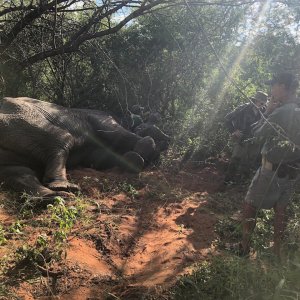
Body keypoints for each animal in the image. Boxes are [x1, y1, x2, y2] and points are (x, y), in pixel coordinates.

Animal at [0, 97, 158, 200]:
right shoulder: (99, 119)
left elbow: (100, 157)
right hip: (23, 118)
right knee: (61, 139)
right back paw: (62, 189)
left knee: (19, 172)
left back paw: (55, 197)